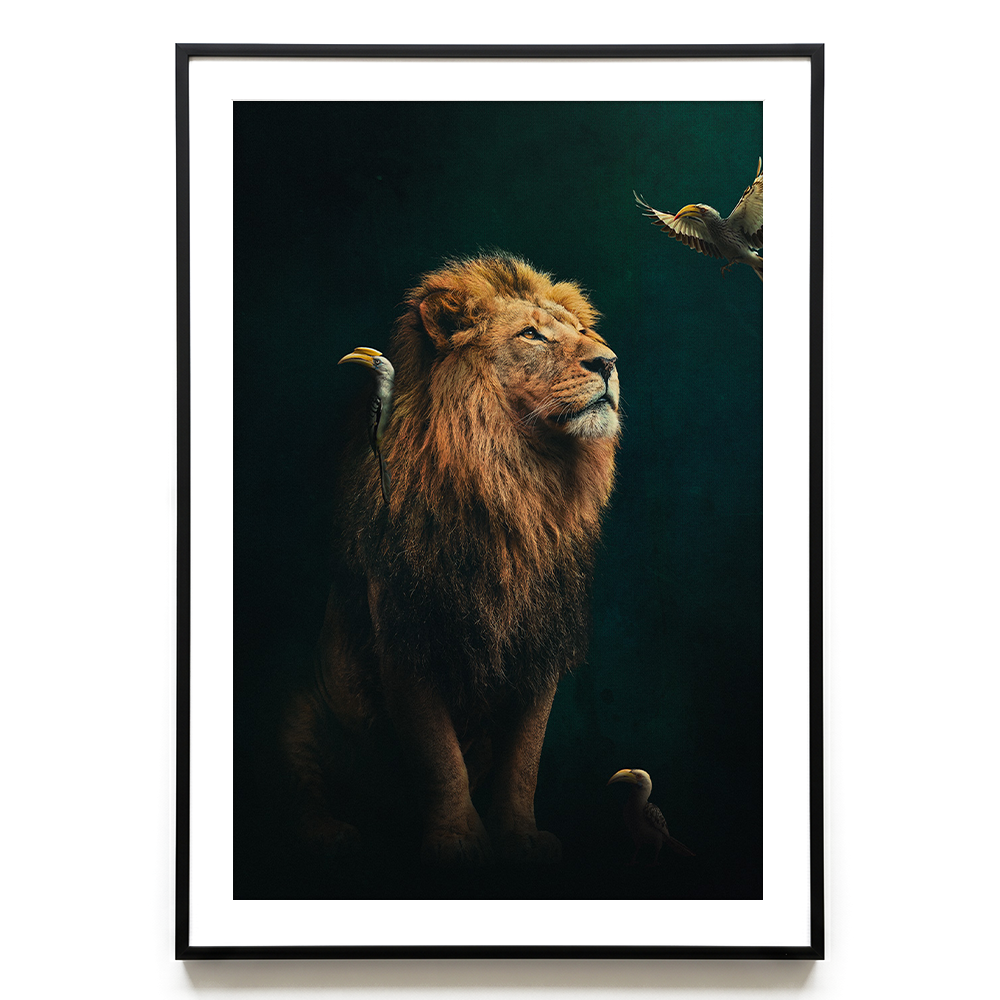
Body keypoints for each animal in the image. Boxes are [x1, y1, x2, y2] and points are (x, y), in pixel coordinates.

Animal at [284, 254, 620, 867]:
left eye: (579, 332)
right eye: (532, 334)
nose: (608, 362)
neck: (518, 481)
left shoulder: (540, 640)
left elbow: (524, 759)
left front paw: (520, 837)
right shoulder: (408, 630)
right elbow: (439, 755)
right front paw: (459, 842)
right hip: (300, 705)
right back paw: (330, 833)